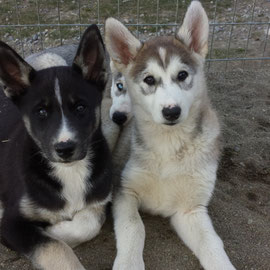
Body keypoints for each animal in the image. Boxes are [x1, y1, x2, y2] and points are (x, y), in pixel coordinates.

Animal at [0, 24, 112, 268]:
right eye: (41, 112)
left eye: (80, 107)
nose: (65, 149)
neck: (69, 171)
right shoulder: (12, 223)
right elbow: (54, 247)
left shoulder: (98, 201)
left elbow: (88, 224)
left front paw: (54, 228)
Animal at [105, 2, 236, 270]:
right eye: (149, 79)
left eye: (182, 75)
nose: (172, 111)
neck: (168, 145)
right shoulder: (124, 190)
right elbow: (134, 227)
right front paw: (129, 263)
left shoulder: (191, 209)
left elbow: (212, 244)